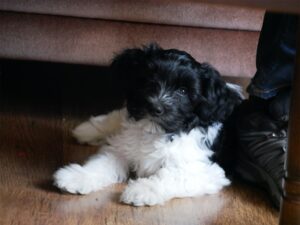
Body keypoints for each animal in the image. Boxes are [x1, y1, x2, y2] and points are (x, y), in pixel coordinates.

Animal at [52, 43, 243, 206]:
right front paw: (77, 176)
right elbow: (101, 164)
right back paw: (87, 130)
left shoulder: (204, 171)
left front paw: (143, 190)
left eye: (183, 91)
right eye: (149, 80)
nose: (155, 107)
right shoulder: (121, 150)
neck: (155, 132)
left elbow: (171, 175)